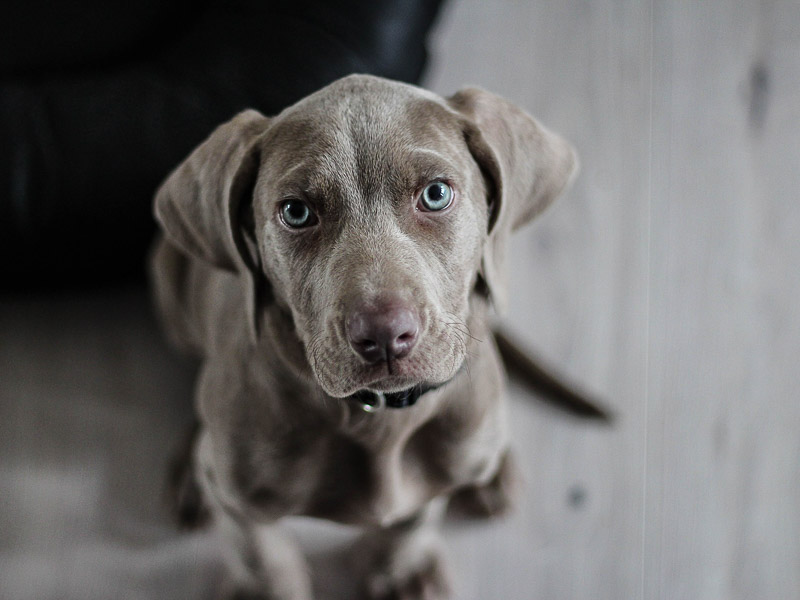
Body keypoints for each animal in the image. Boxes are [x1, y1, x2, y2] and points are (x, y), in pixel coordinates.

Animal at [148, 75, 576, 600]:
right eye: (296, 212)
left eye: (436, 194)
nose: (385, 335)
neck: (378, 417)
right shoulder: (240, 500)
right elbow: (260, 554)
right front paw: (268, 587)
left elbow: (415, 517)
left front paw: (401, 569)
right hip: (168, 281)